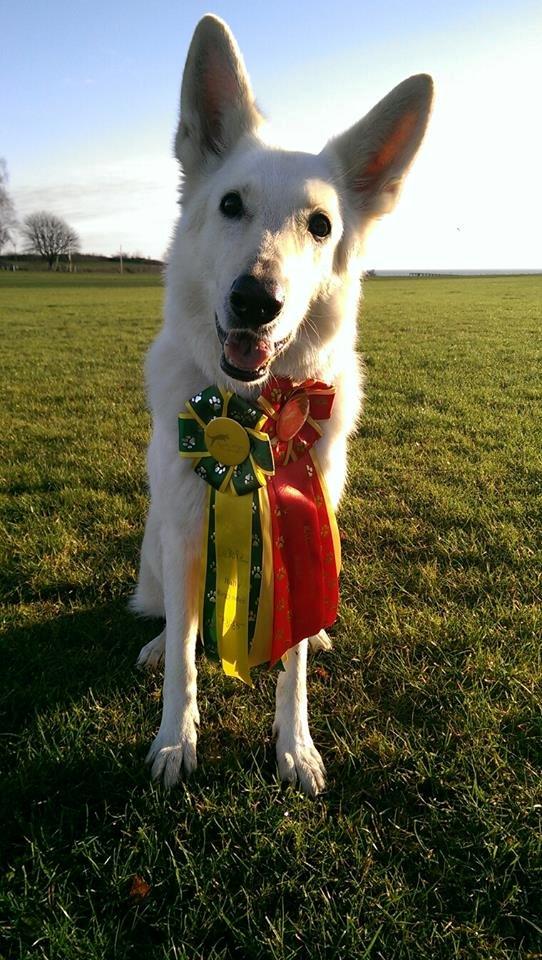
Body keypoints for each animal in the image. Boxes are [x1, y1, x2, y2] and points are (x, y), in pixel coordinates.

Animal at [132, 15, 434, 796]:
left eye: (321, 225)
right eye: (230, 205)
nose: (254, 301)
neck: (246, 414)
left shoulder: (306, 516)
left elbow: (290, 668)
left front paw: (294, 745)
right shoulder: (185, 526)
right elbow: (184, 659)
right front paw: (176, 739)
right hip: (158, 538)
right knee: (173, 619)